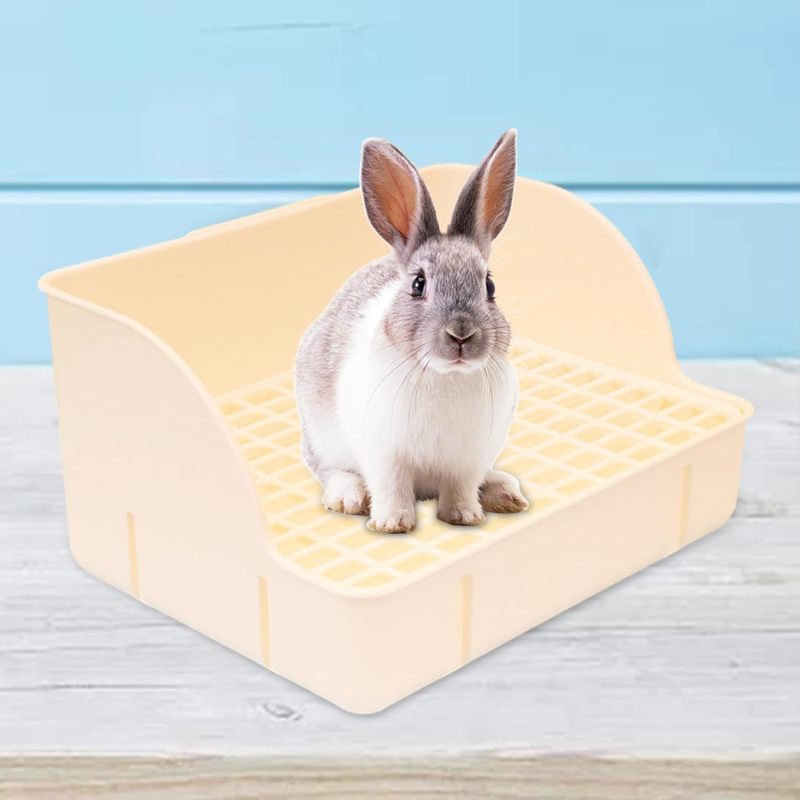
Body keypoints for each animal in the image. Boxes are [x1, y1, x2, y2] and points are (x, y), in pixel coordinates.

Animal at [294, 130, 528, 534]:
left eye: (489, 286)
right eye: (419, 284)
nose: (461, 334)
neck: (445, 375)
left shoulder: (468, 459)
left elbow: (461, 488)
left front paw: (465, 516)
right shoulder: (384, 454)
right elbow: (391, 486)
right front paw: (391, 523)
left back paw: (505, 492)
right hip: (322, 438)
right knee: (327, 469)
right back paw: (348, 497)